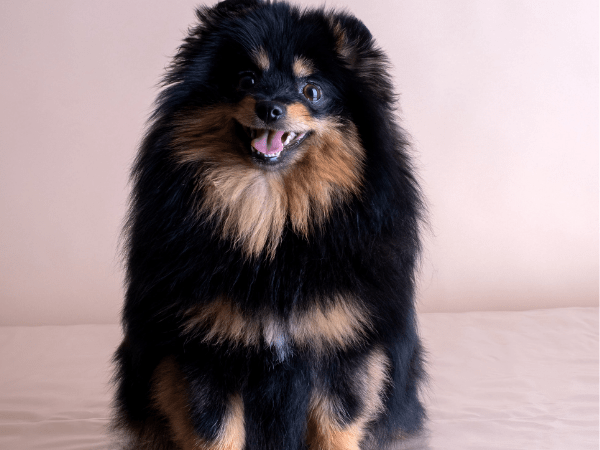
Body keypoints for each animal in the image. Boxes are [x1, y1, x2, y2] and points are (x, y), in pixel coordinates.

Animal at [112, 0, 426, 450]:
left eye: (311, 90)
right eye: (247, 79)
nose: (269, 107)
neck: (270, 219)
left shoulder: (341, 344)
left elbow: (336, 424)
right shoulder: (204, 348)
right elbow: (215, 431)